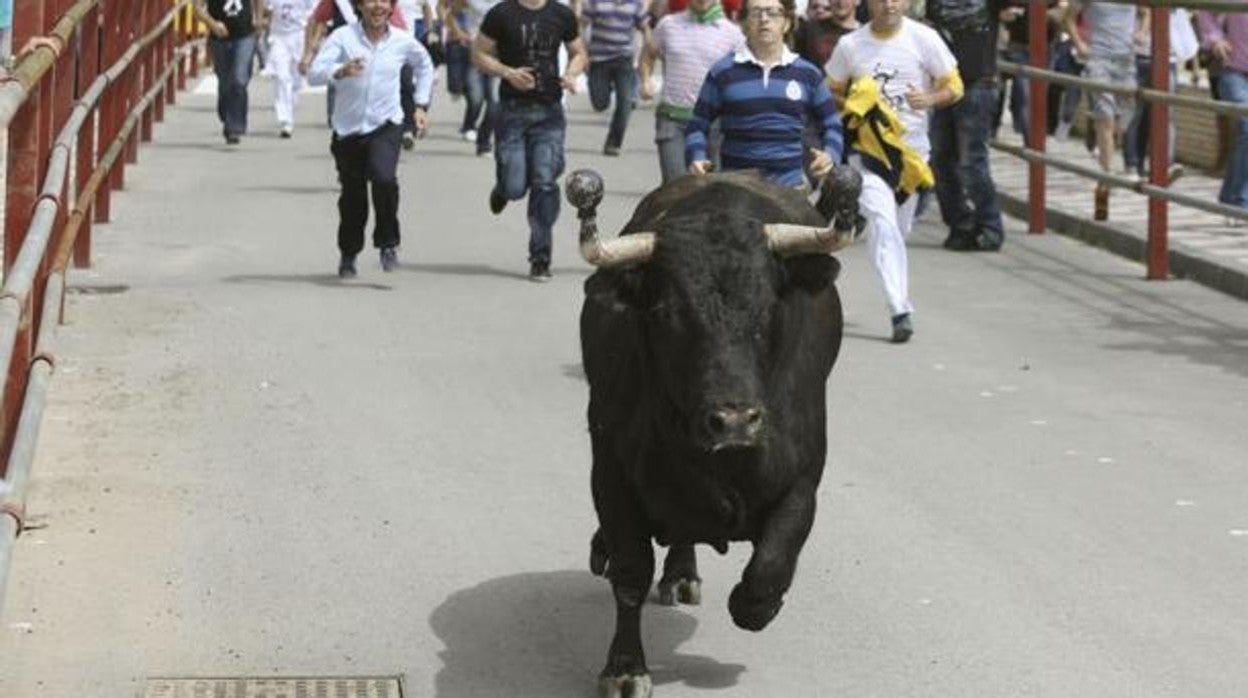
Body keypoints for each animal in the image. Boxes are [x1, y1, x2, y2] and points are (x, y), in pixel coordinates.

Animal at [569, 171, 853, 698]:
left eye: (768, 309)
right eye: (665, 312)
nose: (734, 420)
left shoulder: (804, 479)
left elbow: (771, 565)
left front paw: (753, 606)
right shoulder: (612, 474)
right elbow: (630, 571)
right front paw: (624, 667)